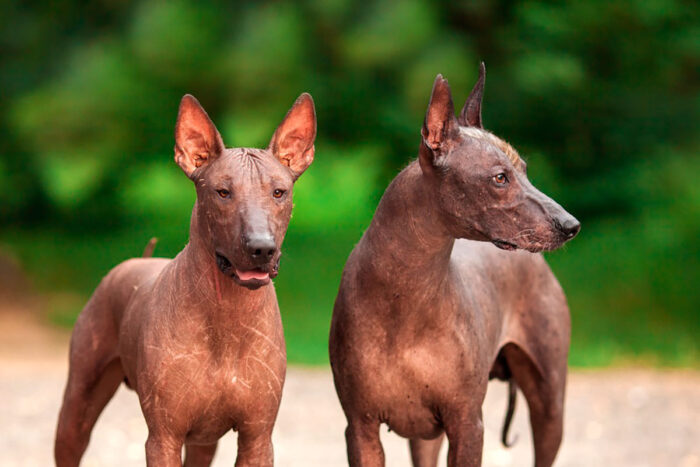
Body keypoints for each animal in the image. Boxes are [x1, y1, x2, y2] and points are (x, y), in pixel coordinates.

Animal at [330, 64, 584, 466]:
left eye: (525, 171)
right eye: (500, 178)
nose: (571, 225)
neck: (406, 292)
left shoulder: (467, 424)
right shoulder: (360, 429)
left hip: (549, 406)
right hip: (424, 437)